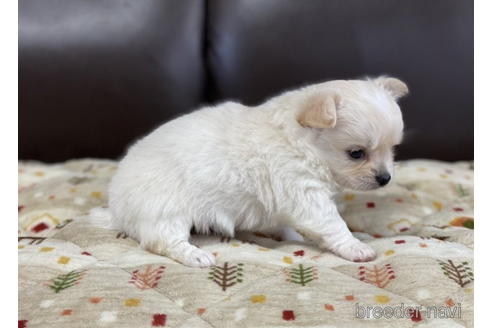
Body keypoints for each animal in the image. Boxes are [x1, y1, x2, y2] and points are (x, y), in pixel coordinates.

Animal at [96, 76, 408, 266]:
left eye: (393, 149)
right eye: (356, 153)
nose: (385, 179)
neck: (301, 142)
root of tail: (117, 210)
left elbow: (289, 226)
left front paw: (293, 238)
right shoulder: (306, 194)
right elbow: (333, 225)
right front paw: (356, 247)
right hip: (166, 211)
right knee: (161, 242)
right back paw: (195, 256)